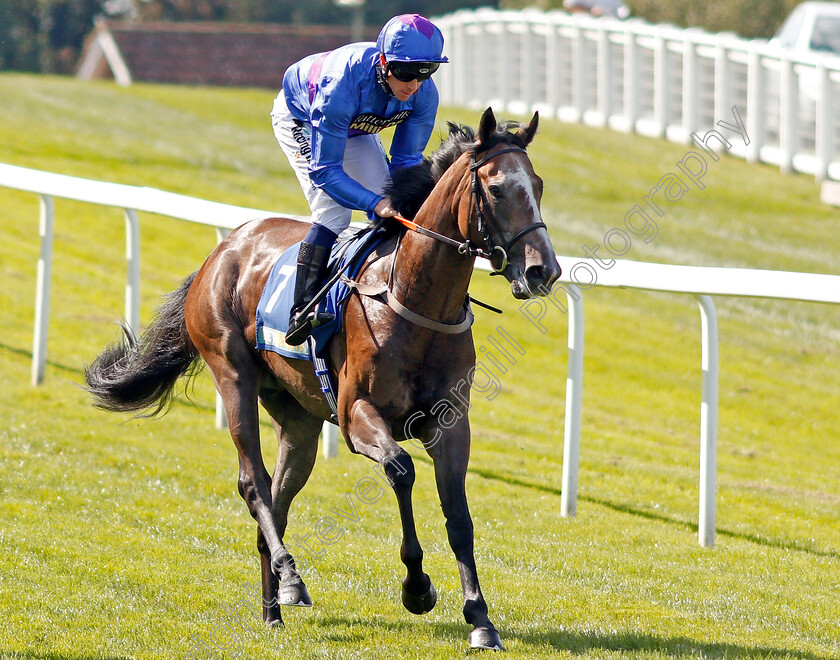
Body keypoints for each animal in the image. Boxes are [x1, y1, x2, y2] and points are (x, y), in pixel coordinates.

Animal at [85, 108, 560, 648]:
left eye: (538, 186)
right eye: (497, 189)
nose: (544, 270)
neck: (414, 300)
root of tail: (224, 248)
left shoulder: (451, 423)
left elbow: (458, 515)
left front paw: (480, 619)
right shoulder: (357, 416)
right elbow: (401, 470)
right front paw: (417, 587)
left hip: (299, 419)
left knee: (277, 498)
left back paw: (272, 607)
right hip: (232, 374)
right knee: (254, 483)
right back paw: (292, 579)